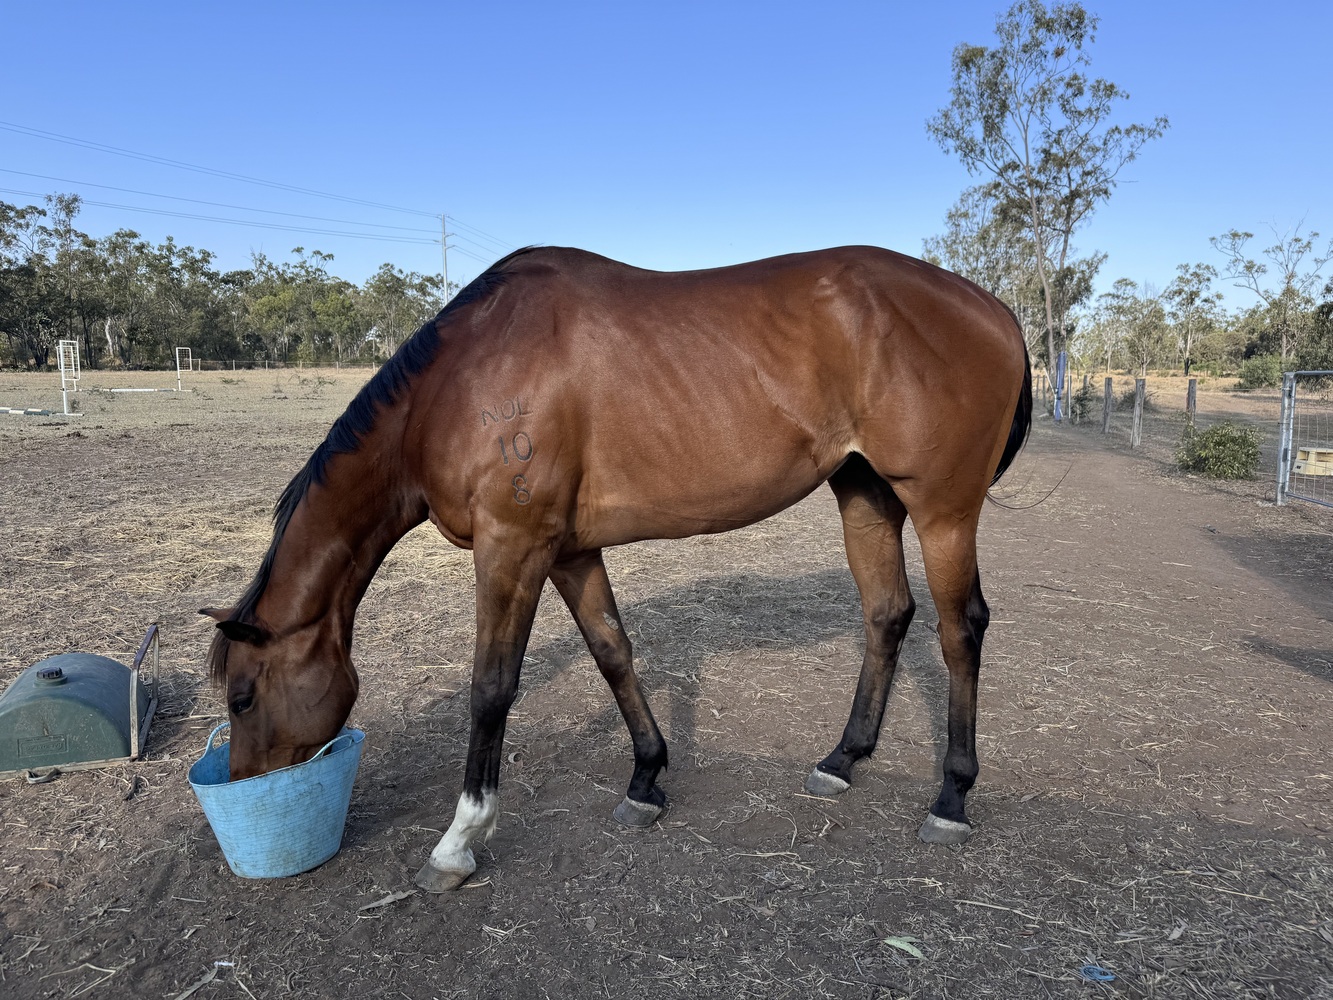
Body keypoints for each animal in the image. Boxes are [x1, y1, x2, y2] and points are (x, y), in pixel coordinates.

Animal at [203, 245, 1032, 892]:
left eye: (242, 696)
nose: (244, 786)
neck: (458, 380)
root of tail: (994, 308)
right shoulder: (567, 551)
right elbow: (612, 652)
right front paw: (645, 780)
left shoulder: (513, 547)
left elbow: (490, 688)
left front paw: (459, 841)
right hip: (864, 494)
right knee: (887, 613)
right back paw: (841, 760)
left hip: (942, 511)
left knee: (960, 630)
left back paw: (950, 798)